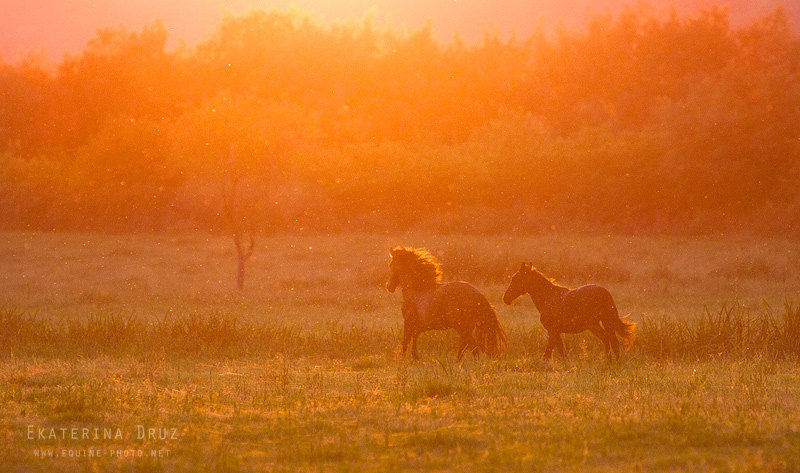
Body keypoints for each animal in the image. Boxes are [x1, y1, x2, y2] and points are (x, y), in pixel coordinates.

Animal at [504, 262, 636, 362]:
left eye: (516, 278)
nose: (505, 298)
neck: (548, 298)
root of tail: (604, 292)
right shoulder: (555, 332)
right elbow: (560, 350)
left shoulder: (552, 331)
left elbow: (548, 352)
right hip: (606, 321)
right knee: (613, 341)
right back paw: (615, 362)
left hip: (594, 324)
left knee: (606, 338)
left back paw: (609, 362)